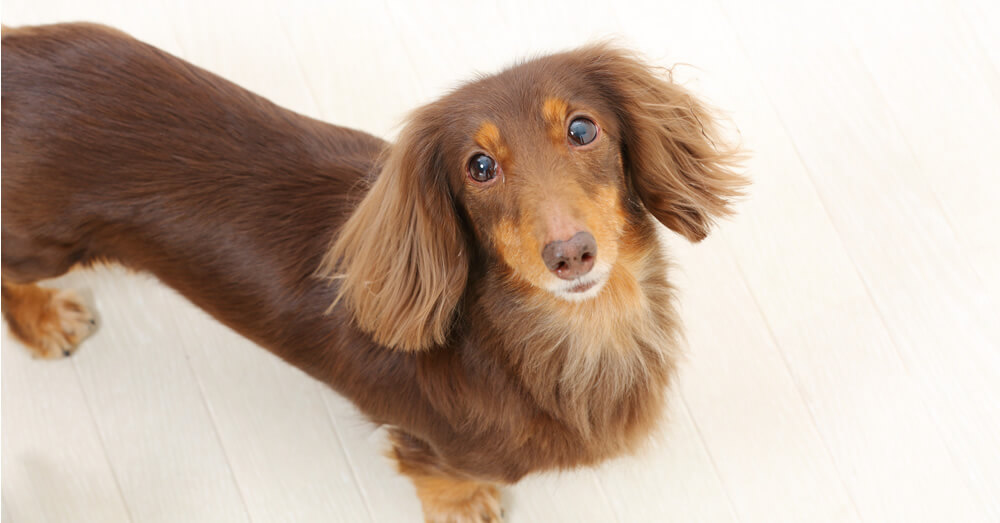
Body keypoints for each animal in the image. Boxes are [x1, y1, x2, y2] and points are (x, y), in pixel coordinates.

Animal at [1, 22, 744, 520]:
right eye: (479, 167)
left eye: (583, 129)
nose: (571, 254)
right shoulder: (430, 444)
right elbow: (444, 481)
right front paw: (468, 506)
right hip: (42, 243)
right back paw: (46, 319)